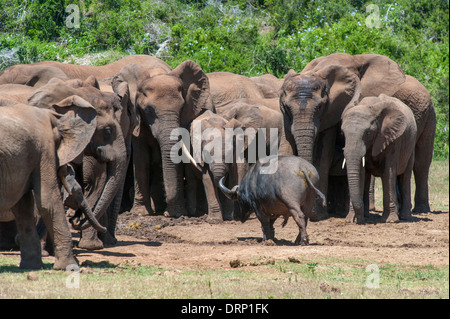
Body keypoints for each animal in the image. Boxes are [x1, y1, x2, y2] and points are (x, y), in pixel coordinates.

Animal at [0, 97, 97, 270]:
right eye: (78, 192)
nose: (75, 220)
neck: (55, 116)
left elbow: (23, 207)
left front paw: (31, 266)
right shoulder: (44, 149)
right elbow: (48, 201)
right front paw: (69, 267)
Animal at [342, 95, 416, 224]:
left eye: (368, 133)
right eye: (342, 133)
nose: (359, 220)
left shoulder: (392, 138)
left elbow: (388, 172)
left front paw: (390, 220)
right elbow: (360, 172)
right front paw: (351, 220)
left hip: (410, 147)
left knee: (405, 177)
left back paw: (404, 217)